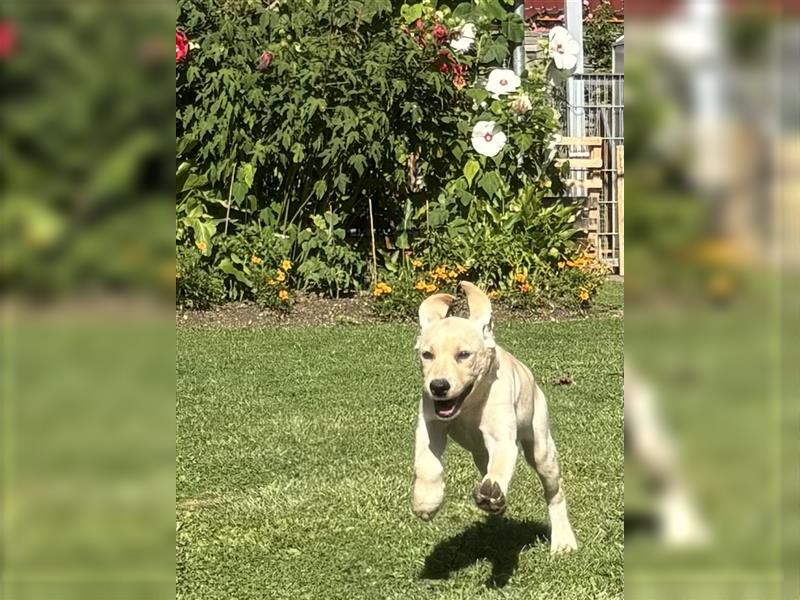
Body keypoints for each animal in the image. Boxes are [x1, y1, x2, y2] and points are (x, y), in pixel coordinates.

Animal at [412, 282, 576, 552]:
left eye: (463, 354)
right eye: (427, 355)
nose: (438, 386)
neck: (469, 404)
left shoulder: (502, 438)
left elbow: (500, 465)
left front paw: (490, 493)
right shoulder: (430, 423)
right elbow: (427, 464)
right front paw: (426, 501)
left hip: (541, 449)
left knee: (554, 492)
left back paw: (563, 541)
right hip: (481, 456)